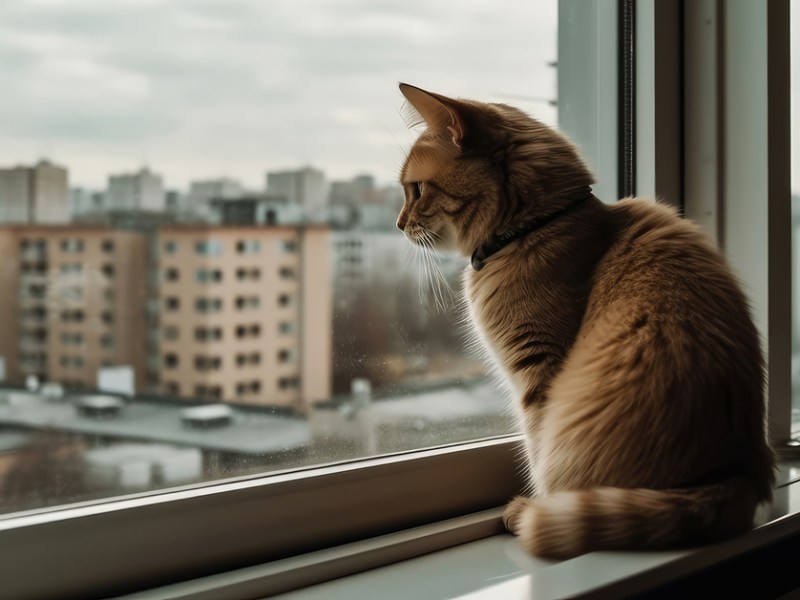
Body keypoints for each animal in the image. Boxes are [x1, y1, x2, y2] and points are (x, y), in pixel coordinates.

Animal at [396, 83, 780, 556]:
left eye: (416, 189)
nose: (398, 224)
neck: (537, 228)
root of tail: (732, 478)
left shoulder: (539, 370)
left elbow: (537, 444)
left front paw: (536, 507)